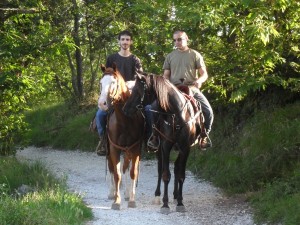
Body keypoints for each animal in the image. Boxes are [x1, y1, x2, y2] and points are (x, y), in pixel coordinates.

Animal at [99, 62, 145, 209]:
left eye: (113, 82)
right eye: (101, 83)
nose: (102, 103)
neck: (125, 120)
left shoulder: (135, 149)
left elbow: (132, 172)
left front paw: (131, 199)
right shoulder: (114, 148)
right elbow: (117, 174)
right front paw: (116, 201)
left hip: (128, 150)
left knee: (126, 167)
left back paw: (126, 193)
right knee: (112, 168)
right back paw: (112, 192)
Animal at [122, 73, 202, 214]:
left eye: (137, 91)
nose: (125, 109)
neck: (176, 115)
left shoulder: (185, 147)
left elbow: (181, 175)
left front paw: (180, 202)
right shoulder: (165, 146)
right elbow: (165, 174)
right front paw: (165, 204)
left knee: (176, 168)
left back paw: (175, 196)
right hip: (160, 149)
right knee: (160, 169)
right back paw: (157, 196)